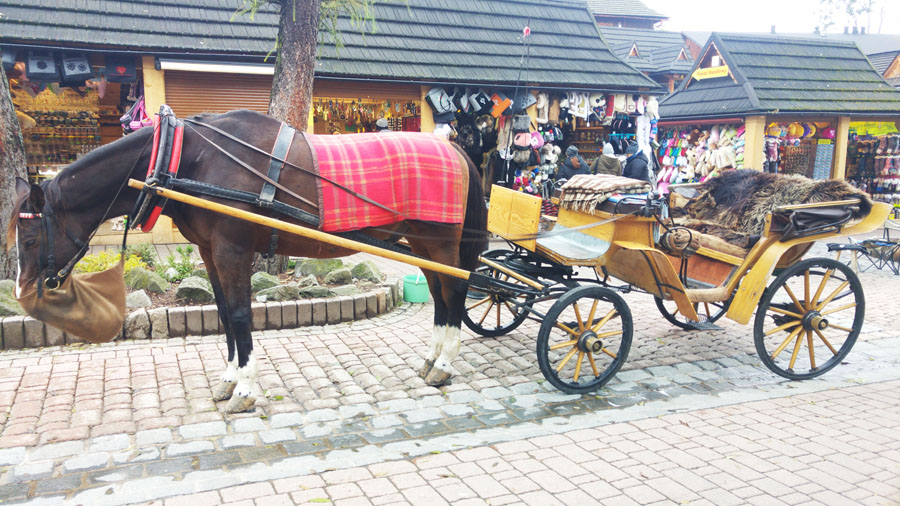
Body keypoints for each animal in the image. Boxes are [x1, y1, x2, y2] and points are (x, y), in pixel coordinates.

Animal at [8, 109, 486, 412]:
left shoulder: (232, 250)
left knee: (455, 291)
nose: (24, 292)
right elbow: (223, 313)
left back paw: (445, 364)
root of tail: (456, 150)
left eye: (29, 237)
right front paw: (229, 378)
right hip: (422, 246)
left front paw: (245, 389)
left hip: (442, 244)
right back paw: (433, 359)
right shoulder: (209, 252)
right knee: (440, 295)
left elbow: (239, 314)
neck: (189, 158)